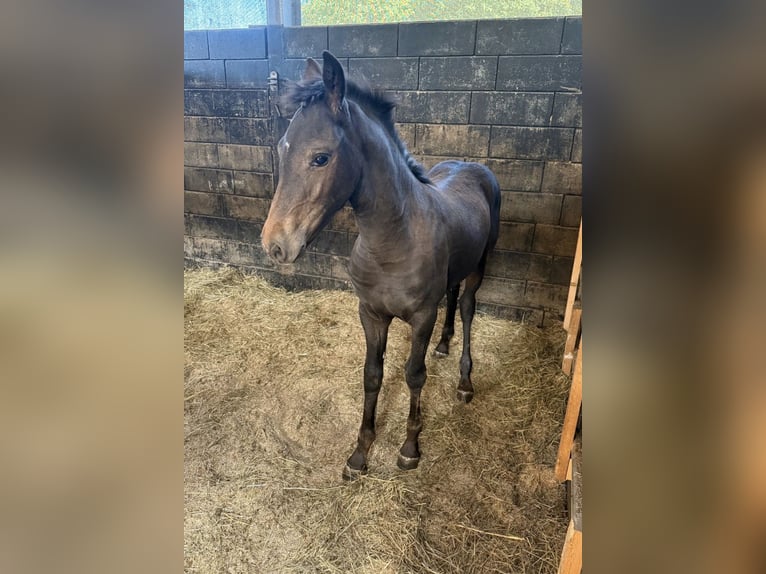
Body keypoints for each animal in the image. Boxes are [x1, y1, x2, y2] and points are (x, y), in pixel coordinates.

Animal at [262, 51, 501, 480]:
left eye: (321, 157)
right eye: (282, 148)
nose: (275, 245)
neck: (393, 242)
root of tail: (472, 166)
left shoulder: (421, 316)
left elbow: (413, 374)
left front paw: (409, 448)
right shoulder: (370, 313)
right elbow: (372, 375)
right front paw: (360, 454)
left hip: (480, 265)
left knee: (468, 308)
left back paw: (464, 382)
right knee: (453, 295)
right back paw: (444, 346)